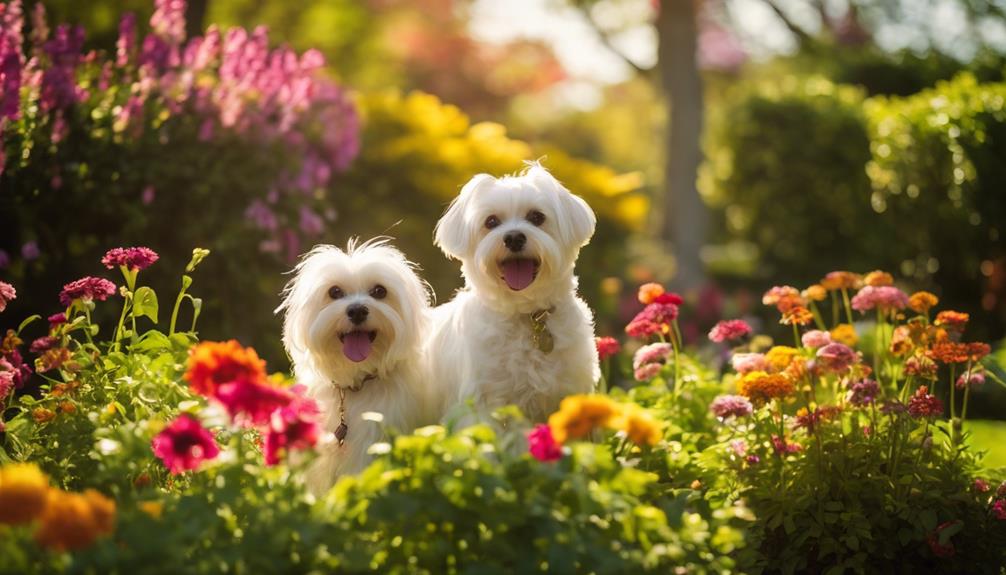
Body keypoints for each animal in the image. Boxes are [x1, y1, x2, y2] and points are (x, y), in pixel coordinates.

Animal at [428, 163, 599, 424]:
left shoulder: (569, 388)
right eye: (491, 221)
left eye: (537, 217)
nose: (514, 237)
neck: (526, 314)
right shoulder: (483, 402)